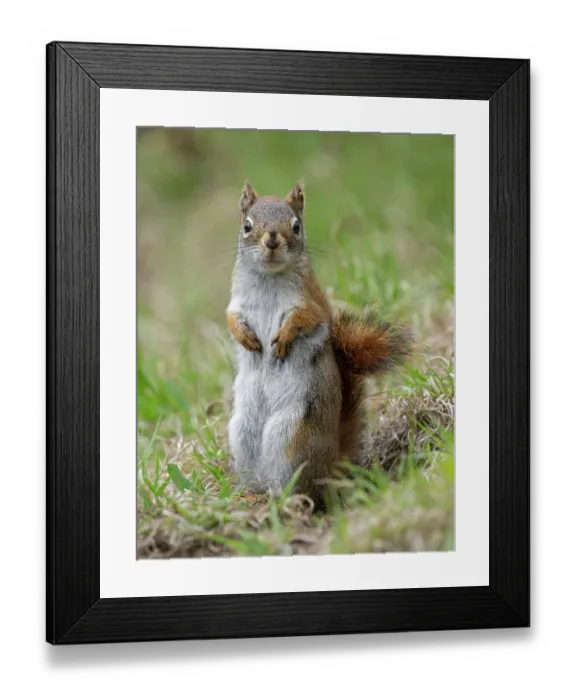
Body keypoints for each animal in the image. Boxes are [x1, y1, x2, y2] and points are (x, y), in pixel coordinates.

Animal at [226, 180, 412, 504]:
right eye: (247, 225)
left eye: (296, 226)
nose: (272, 240)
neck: (269, 278)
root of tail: (332, 465)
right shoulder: (236, 302)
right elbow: (231, 318)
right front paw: (245, 337)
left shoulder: (311, 303)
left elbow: (304, 319)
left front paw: (284, 338)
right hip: (241, 436)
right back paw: (250, 496)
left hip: (292, 438)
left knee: (301, 487)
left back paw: (288, 502)